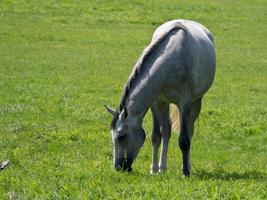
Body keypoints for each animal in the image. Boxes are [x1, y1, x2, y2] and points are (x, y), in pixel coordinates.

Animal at [105, 19, 217, 177]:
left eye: (121, 136)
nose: (118, 167)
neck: (172, 60)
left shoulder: (185, 102)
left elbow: (184, 139)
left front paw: (185, 172)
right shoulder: (157, 101)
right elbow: (156, 136)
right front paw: (154, 169)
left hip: (196, 102)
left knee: (189, 130)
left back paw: (186, 166)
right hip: (165, 103)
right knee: (166, 131)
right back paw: (162, 167)